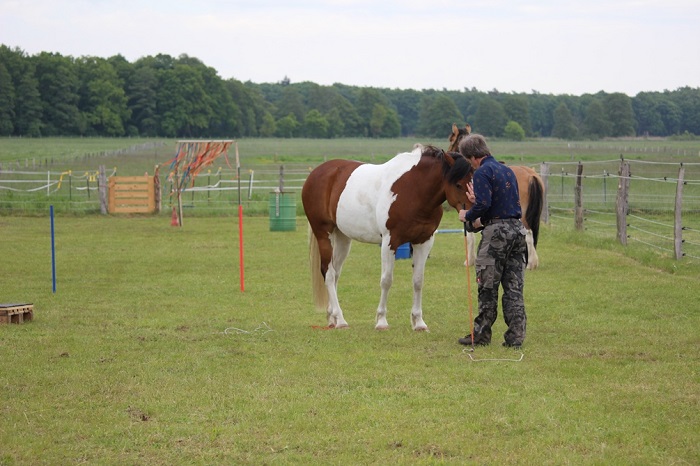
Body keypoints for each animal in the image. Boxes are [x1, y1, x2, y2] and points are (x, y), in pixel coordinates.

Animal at [302, 146, 474, 332]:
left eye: (473, 180)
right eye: (458, 184)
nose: (473, 216)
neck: (413, 190)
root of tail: (316, 173)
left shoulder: (424, 242)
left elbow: (418, 281)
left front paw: (419, 322)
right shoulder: (389, 242)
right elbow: (386, 280)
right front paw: (381, 321)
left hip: (342, 237)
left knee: (335, 273)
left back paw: (332, 317)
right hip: (323, 234)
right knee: (329, 273)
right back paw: (340, 319)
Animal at [452, 124, 544, 270]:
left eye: (451, 139)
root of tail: (531, 175)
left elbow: (470, 236)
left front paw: (470, 260)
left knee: (528, 234)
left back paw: (530, 263)